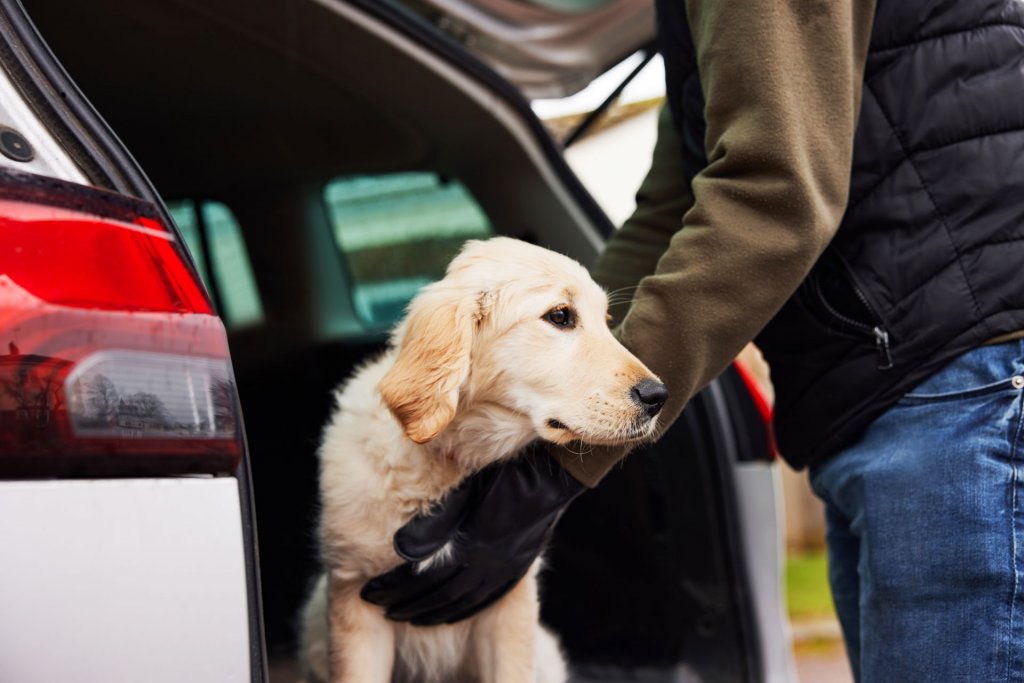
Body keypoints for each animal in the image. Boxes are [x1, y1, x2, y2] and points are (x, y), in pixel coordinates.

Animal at [299, 236, 663, 683]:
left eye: (606, 320)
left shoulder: (506, 605)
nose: (659, 396)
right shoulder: (354, 599)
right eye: (560, 316)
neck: (449, 465)